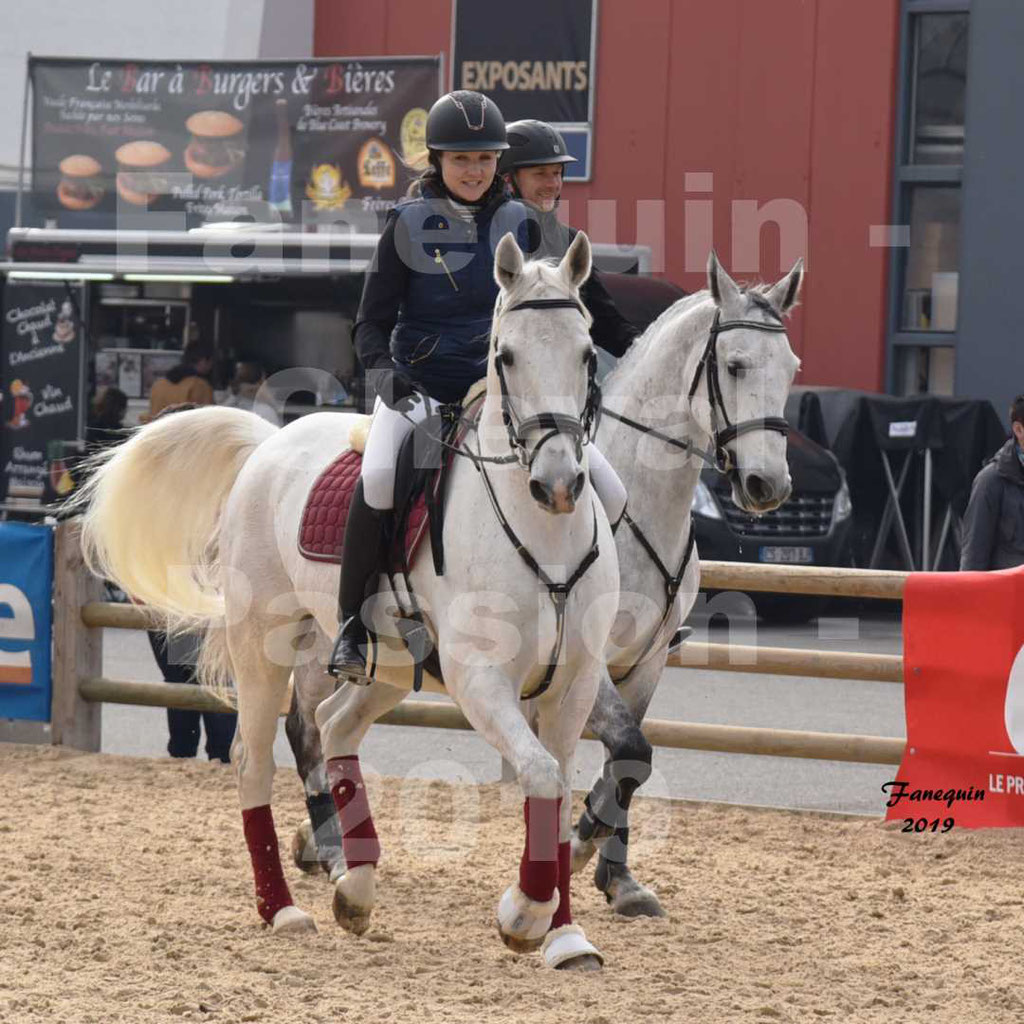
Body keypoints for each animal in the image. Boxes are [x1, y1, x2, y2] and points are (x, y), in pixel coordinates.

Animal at [77, 230, 614, 966]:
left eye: (587, 352)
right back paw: (283, 908)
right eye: (506, 354)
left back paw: (354, 885)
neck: (543, 537)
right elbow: (538, 775)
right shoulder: (480, 679)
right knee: (252, 759)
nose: (557, 484)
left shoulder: (576, 683)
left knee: (334, 727)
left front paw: (564, 935)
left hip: (385, 665)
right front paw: (524, 915)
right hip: (262, 645)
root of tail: (270, 441)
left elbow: (557, 789)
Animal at [284, 249, 802, 921]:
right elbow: (628, 749)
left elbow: (629, 760)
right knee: (306, 728)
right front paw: (579, 846)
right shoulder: (591, 664)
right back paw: (326, 847)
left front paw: (618, 875)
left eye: (790, 369)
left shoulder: (647, 662)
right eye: (735, 366)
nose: (768, 486)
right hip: (318, 638)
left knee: (326, 723)